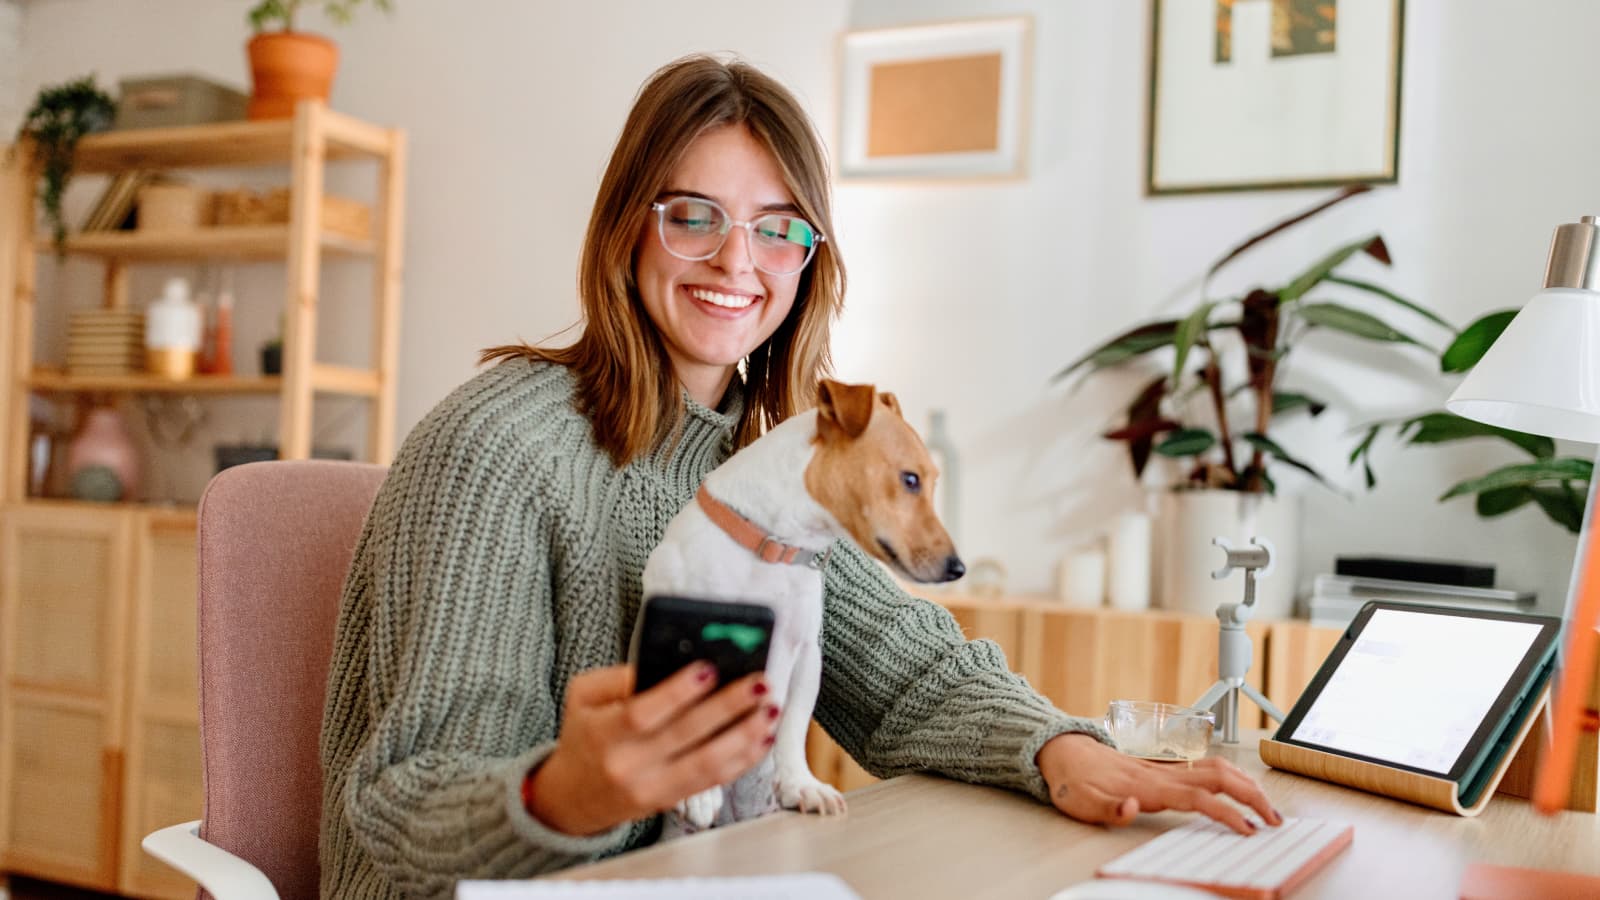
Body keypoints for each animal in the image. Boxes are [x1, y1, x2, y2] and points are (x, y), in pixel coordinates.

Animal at [636, 374, 960, 832]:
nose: (958, 568)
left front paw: (801, 786)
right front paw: (697, 790)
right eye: (910, 479)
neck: (774, 545)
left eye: (931, 481)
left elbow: (792, 725)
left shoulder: (806, 653)